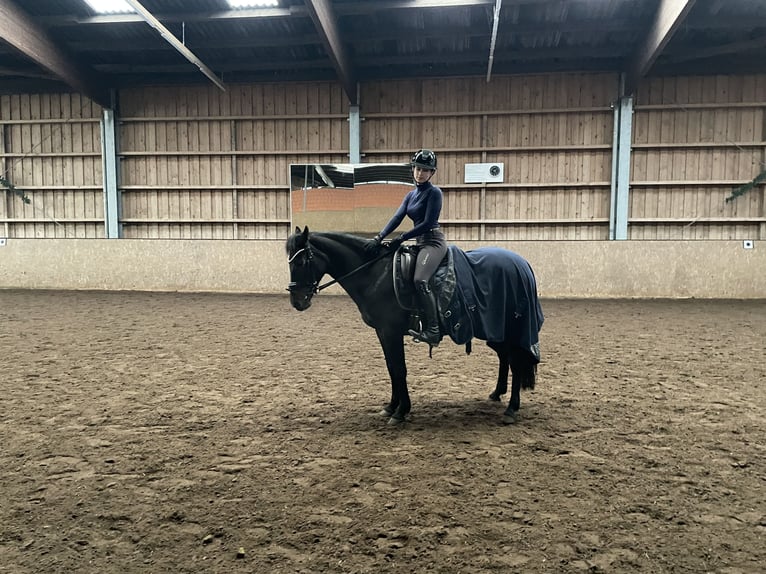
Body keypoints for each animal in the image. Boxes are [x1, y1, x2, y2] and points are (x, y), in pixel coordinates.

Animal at [284, 227, 544, 426]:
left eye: (302, 260)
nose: (297, 301)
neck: (375, 273)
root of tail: (521, 263)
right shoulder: (383, 333)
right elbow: (391, 368)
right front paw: (391, 406)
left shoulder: (390, 332)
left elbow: (399, 369)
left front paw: (401, 411)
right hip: (497, 330)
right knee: (505, 357)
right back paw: (497, 394)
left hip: (511, 329)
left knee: (515, 362)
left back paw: (511, 409)